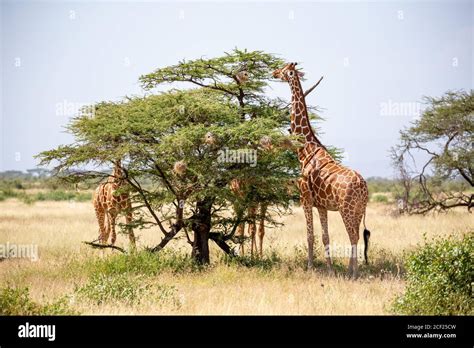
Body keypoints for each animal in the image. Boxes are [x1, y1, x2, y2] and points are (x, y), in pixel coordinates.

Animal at [274, 62, 370, 278]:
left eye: (284, 69)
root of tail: (363, 186)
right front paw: (330, 270)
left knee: (353, 236)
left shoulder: (305, 198)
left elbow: (310, 235)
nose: (273, 73)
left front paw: (310, 267)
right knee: (356, 235)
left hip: (346, 209)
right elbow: (325, 236)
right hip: (359, 210)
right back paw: (350, 270)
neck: (305, 150)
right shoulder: (322, 205)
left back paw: (354, 273)